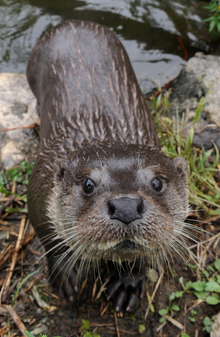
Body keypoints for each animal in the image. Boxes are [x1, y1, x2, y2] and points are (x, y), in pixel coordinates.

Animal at [27, 19, 189, 312]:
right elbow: (51, 242)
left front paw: (128, 282)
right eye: (88, 185)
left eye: (157, 183)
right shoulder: (37, 196)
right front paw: (65, 275)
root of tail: (73, 22)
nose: (126, 207)